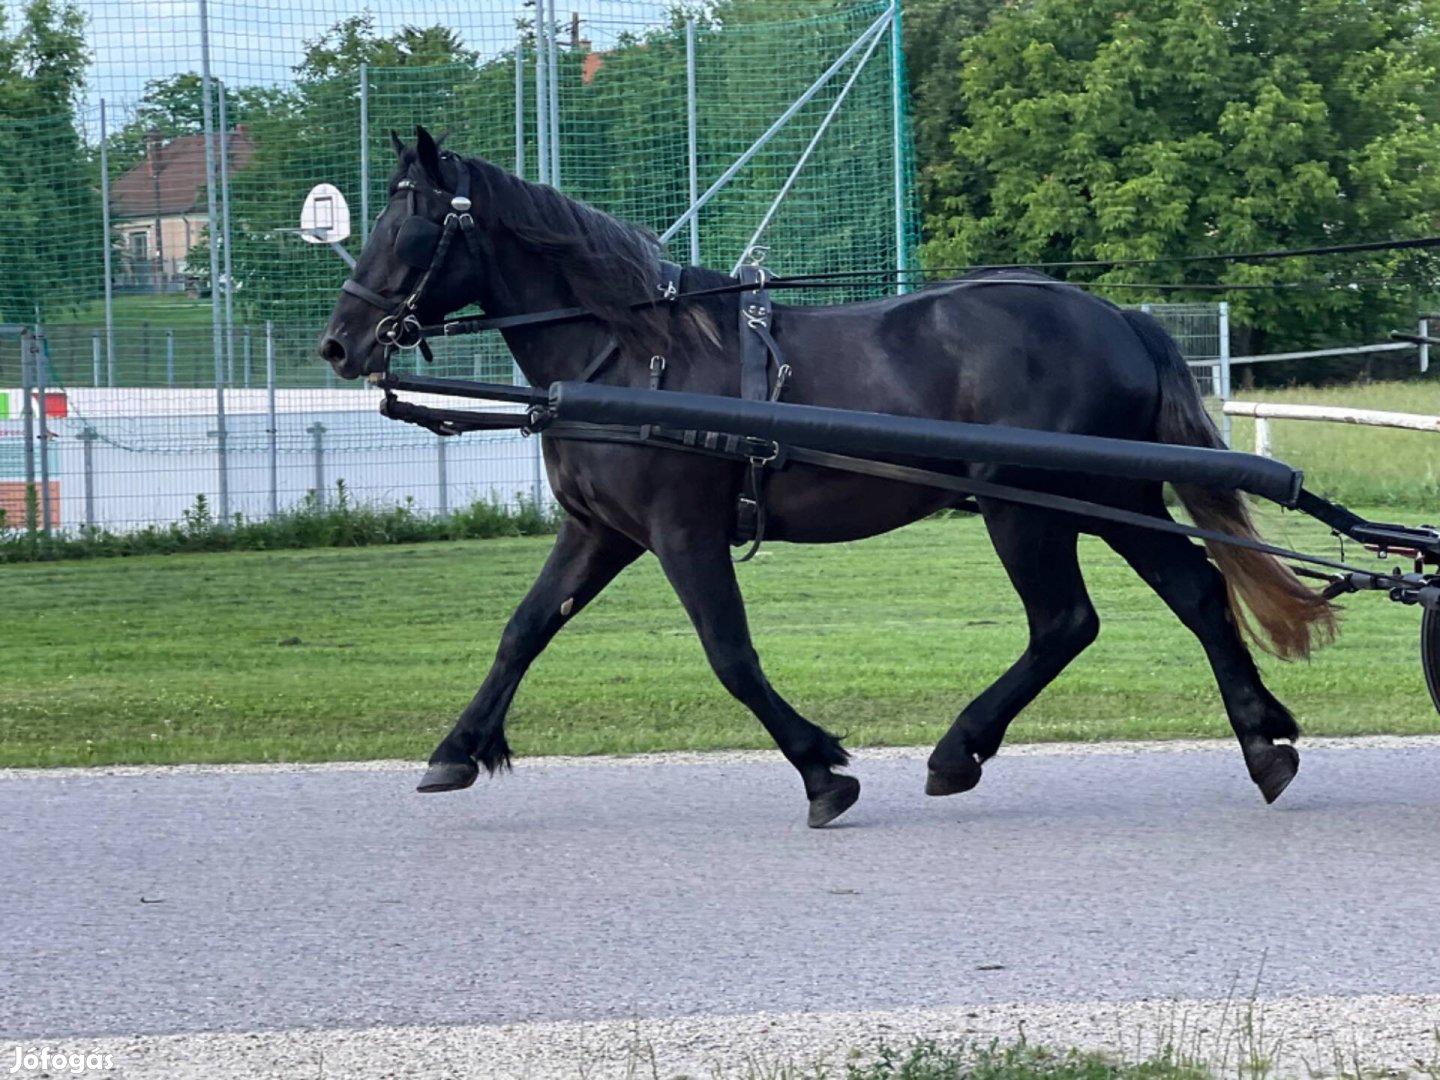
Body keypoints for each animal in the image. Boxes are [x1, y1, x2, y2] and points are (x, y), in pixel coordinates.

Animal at [321, 133, 1330, 829]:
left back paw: (960, 749)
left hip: (1027, 507)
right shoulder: (598, 532)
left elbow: (730, 655)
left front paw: (821, 769)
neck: (631, 353)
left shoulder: (681, 532)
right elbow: (523, 632)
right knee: (1196, 594)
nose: (340, 341)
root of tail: (1118, 316)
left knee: (1067, 623)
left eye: (411, 222)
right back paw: (1261, 740)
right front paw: (458, 749)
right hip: (1114, 498)